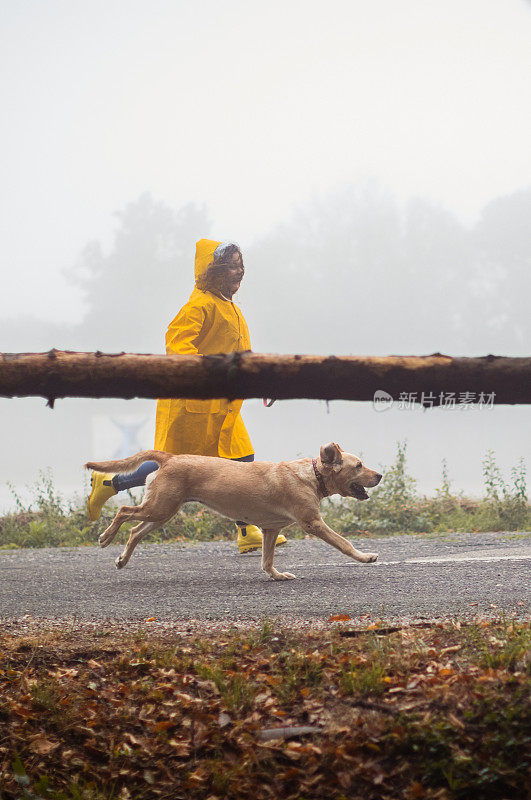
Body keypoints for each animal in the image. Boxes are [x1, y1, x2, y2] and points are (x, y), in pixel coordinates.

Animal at [84, 444, 382, 580]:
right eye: (359, 465)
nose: (380, 475)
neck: (311, 475)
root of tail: (170, 457)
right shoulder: (313, 522)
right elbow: (344, 543)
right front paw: (365, 556)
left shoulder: (271, 528)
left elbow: (266, 561)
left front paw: (277, 576)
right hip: (159, 507)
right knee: (124, 511)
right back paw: (105, 538)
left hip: (162, 512)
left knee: (135, 531)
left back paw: (122, 559)